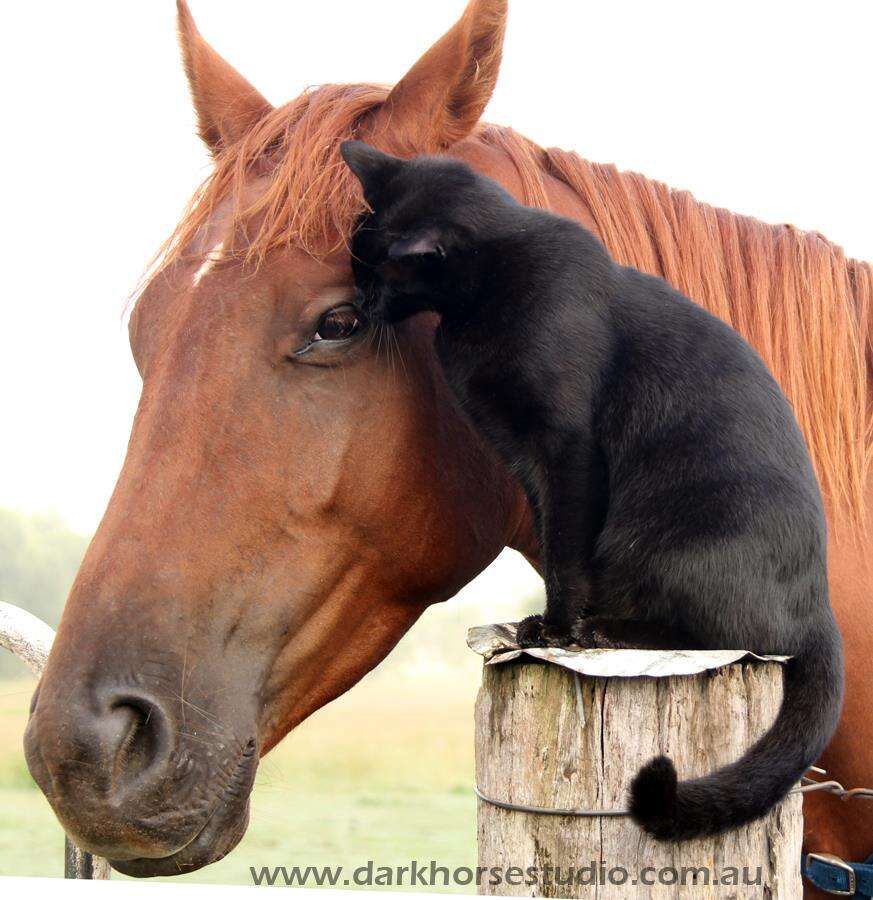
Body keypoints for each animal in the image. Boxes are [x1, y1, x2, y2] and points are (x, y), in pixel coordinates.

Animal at [340, 137, 844, 840]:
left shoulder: (568, 449)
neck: (482, 300)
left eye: (380, 272)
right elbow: (554, 539)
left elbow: (566, 549)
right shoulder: (522, 457)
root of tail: (820, 606)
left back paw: (608, 632)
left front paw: (555, 632)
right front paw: (548, 623)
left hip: (664, 544)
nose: (357, 304)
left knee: (732, 639)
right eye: (355, 263)